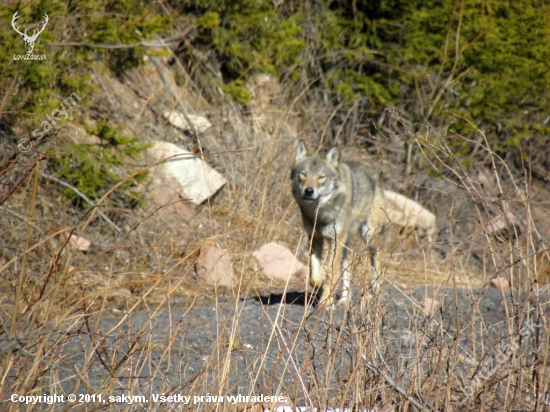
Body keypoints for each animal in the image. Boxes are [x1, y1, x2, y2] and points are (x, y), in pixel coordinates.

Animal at [292, 142, 386, 306]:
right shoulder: (315, 238)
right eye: (303, 174)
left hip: (368, 237)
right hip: (345, 242)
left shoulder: (335, 240)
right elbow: (313, 276)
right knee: (346, 269)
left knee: (376, 258)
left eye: (321, 177)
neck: (320, 213)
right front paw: (321, 286)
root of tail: (373, 172)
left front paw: (325, 303)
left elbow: (330, 273)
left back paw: (374, 289)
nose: (309, 191)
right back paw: (343, 299)